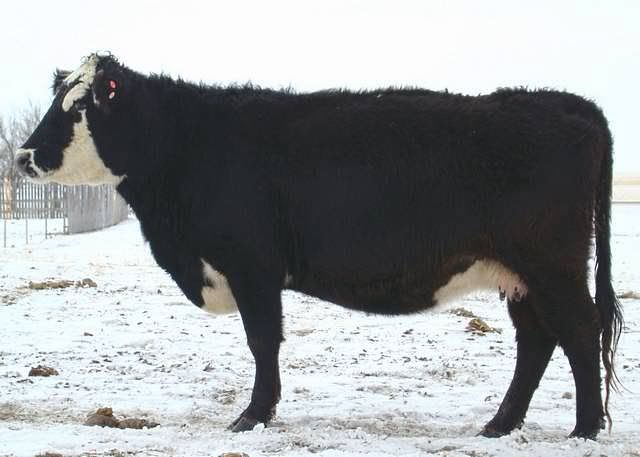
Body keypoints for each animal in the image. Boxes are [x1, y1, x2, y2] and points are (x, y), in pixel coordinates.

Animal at [15, 53, 623, 439]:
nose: (23, 156)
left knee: (578, 330)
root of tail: (564, 103)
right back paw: (500, 425)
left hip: (552, 265)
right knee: (537, 341)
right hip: (519, 275)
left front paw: (252, 417)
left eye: (78, 106)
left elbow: (263, 342)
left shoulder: (253, 266)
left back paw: (585, 428)